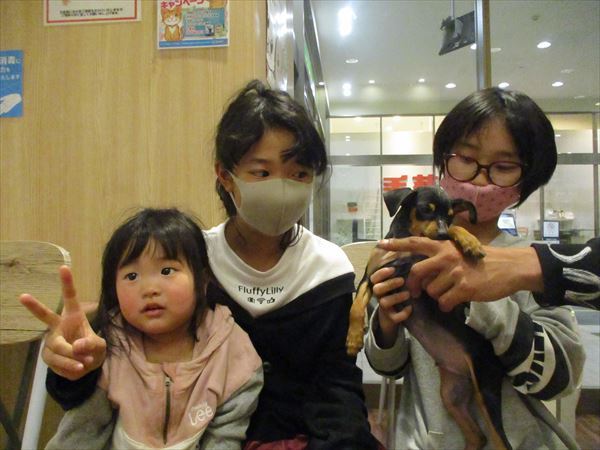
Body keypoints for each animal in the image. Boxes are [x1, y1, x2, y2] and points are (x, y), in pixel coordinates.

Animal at [346, 186, 510, 450]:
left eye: (451, 216)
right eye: (425, 209)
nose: (441, 234)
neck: (405, 240)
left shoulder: (423, 264)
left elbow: (446, 239)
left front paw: (469, 241)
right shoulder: (372, 277)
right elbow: (356, 306)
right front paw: (353, 339)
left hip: (485, 388)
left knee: (498, 441)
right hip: (452, 395)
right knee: (478, 436)